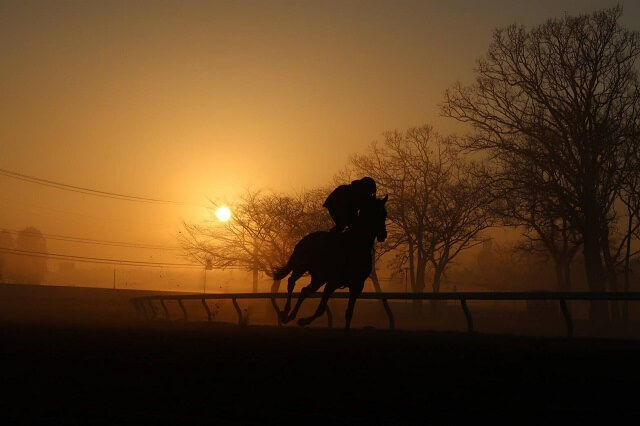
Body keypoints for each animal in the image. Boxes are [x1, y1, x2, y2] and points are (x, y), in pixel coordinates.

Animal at [272, 194, 388, 330]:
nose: (383, 235)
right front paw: (303, 321)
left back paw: (291, 315)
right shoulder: (333, 282)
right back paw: (285, 312)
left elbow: (348, 313)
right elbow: (321, 309)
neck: (356, 246)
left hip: (318, 278)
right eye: (376, 213)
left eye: (384, 214)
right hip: (301, 266)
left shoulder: (356, 285)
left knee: (304, 291)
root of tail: (305, 239)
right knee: (292, 282)